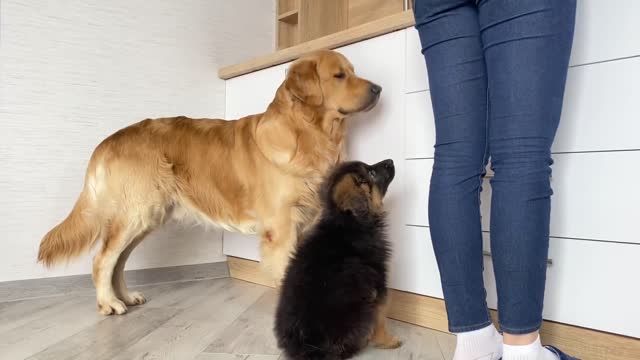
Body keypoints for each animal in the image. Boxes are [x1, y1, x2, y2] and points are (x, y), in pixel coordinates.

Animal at [38, 50, 380, 316]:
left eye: (353, 71)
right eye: (339, 75)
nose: (378, 88)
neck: (307, 133)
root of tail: (109, 140)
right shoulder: (281, 228)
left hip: (146, 217)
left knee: (119, 260)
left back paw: (126, 296)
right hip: (136, 213)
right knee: (103, 259)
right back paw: (109, 303)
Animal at [274, 160, 400, 360]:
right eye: (371, 173)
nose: (391, 161)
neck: (349, 222)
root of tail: (305, 347)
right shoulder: (378, 282)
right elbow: (381, 318)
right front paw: (388, 341)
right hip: (361, 308)